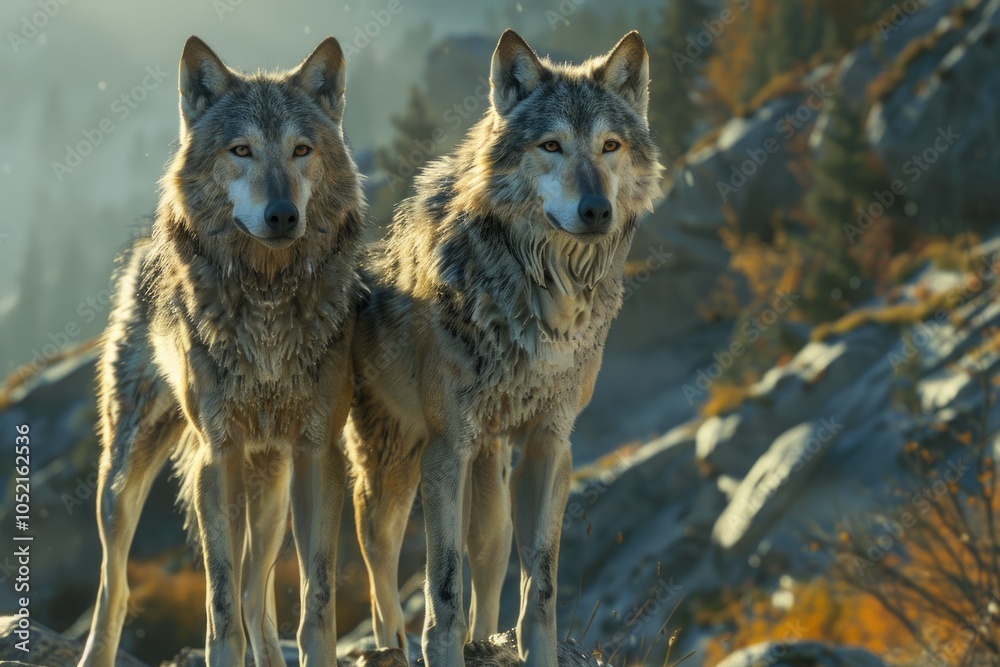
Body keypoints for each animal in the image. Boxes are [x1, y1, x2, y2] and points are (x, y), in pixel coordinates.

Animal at [76, 36, 366, 667]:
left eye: (301, 150)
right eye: (241, 150)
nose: (283, 214)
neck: (267, 303)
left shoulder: (317, 453)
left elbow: (316, 600)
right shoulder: (219, 454)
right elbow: (219, 602)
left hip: (272, 489)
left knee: (259, 594)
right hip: (124, 475)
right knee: (116, 585)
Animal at [346, 29, 662, 666]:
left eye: (610, 146)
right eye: (551, 146)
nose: (597, 210)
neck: (545, 302)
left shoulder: (550, 444)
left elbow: (539, 589)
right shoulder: (446, 449)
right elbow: (442, 593)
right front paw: (441, 647)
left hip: (490, 466)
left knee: (488, 556)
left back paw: (485, 642)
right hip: (392, 473)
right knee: (378, 568)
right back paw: (390, 645)